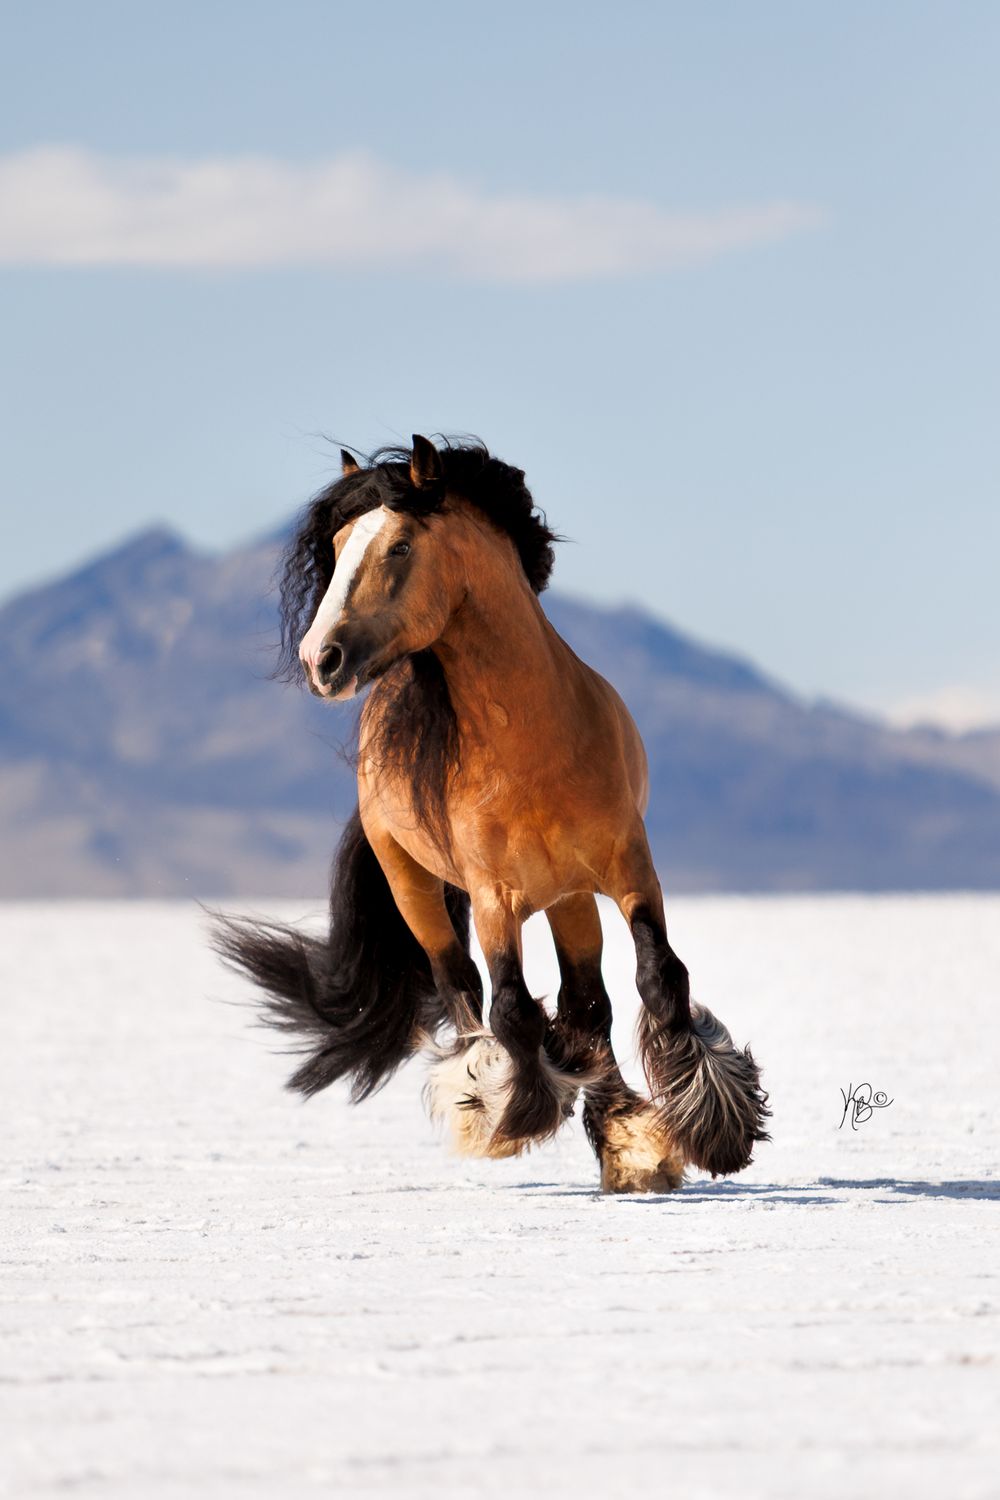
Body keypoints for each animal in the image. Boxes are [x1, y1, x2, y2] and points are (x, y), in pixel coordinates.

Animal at [214, 436, 769, 1192]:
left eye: (399, 546)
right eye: (335, 545)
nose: (319, 659)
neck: (532, 748)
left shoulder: (630, 869)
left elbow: (659, 978)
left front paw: (708, 1133)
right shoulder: (491, 895)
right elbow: (511, 1007)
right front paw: (508, 1111)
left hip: (569, 898)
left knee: (587, 1002)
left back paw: (623, 1137)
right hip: (416, 888)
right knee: (463, 988)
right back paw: (496, 1091)